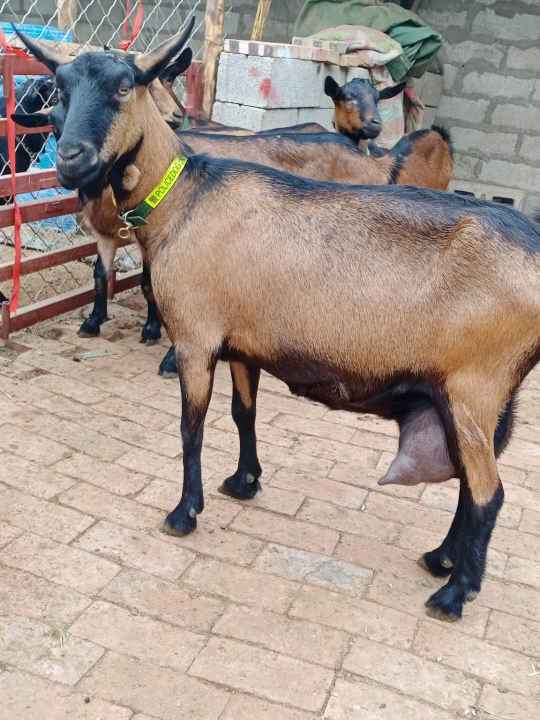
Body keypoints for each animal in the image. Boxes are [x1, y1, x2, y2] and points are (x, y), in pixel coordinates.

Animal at [16, 29, 540, 624]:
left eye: (125, 86)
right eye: (59, 89)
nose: (70, 160)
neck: (182, 198)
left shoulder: (195, 339)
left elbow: (191, 428)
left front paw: (185, 511)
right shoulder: (242, 343)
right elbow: (244, 415)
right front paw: (244, 482)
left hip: (474, 387)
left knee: (489, 492)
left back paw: (454, 594)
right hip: (475, 395)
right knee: (470, 481)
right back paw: (441, 559)